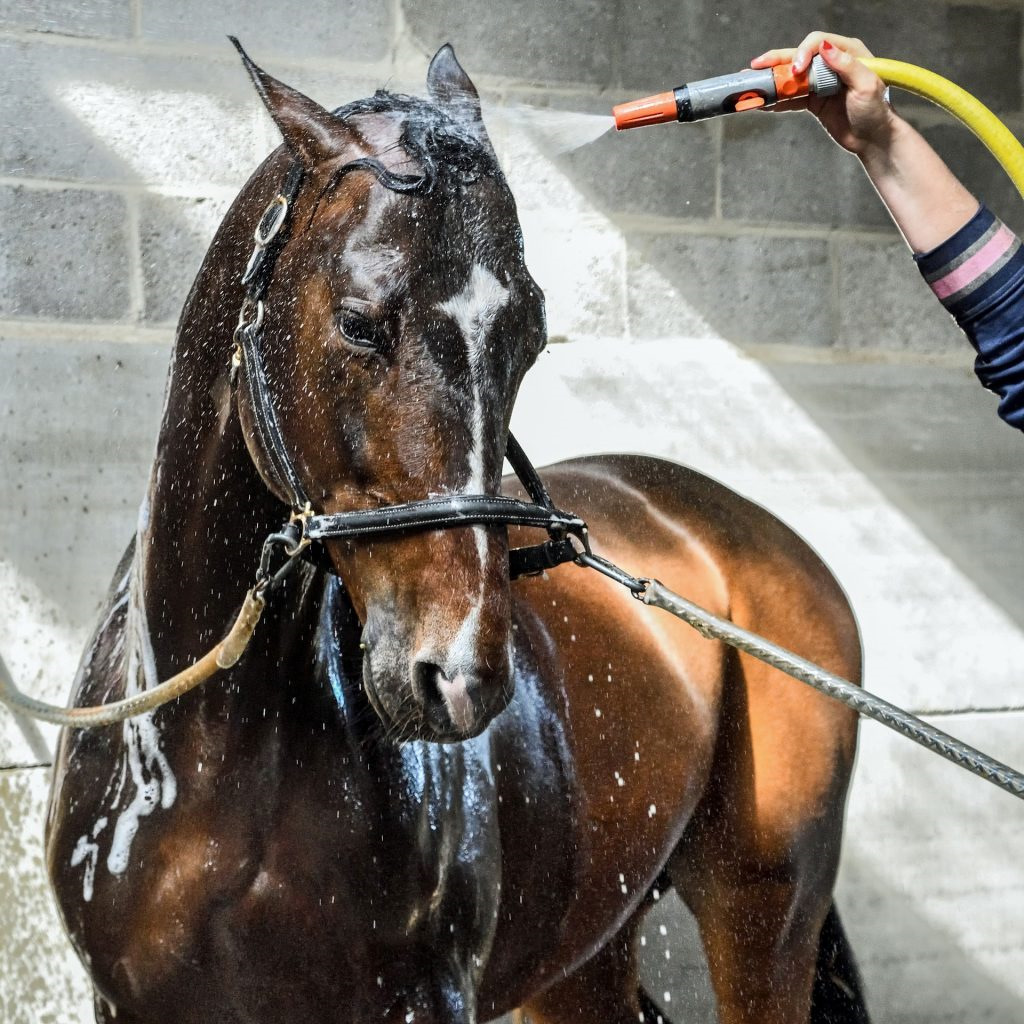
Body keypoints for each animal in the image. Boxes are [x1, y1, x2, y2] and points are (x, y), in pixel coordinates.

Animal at [44, 39, 868, 1024]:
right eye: (359, 323)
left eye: (531, 336)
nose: (462, 677)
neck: (204, 761)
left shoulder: (425, 997)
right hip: (586, 955)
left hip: (762, 915)